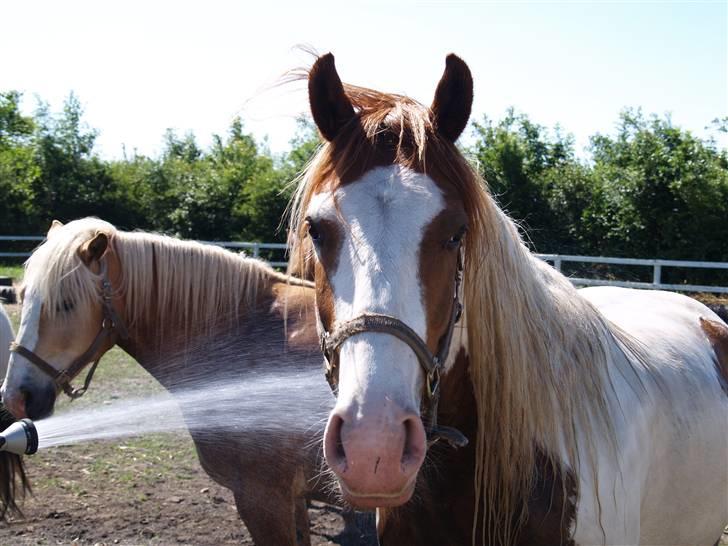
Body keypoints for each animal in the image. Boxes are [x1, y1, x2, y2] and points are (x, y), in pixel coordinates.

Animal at [0, 217, 364, 544]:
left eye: (65, 304)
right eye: (23, 296)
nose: (15, 396)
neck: (242, 332)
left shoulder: (264, 499)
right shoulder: (292, 499)